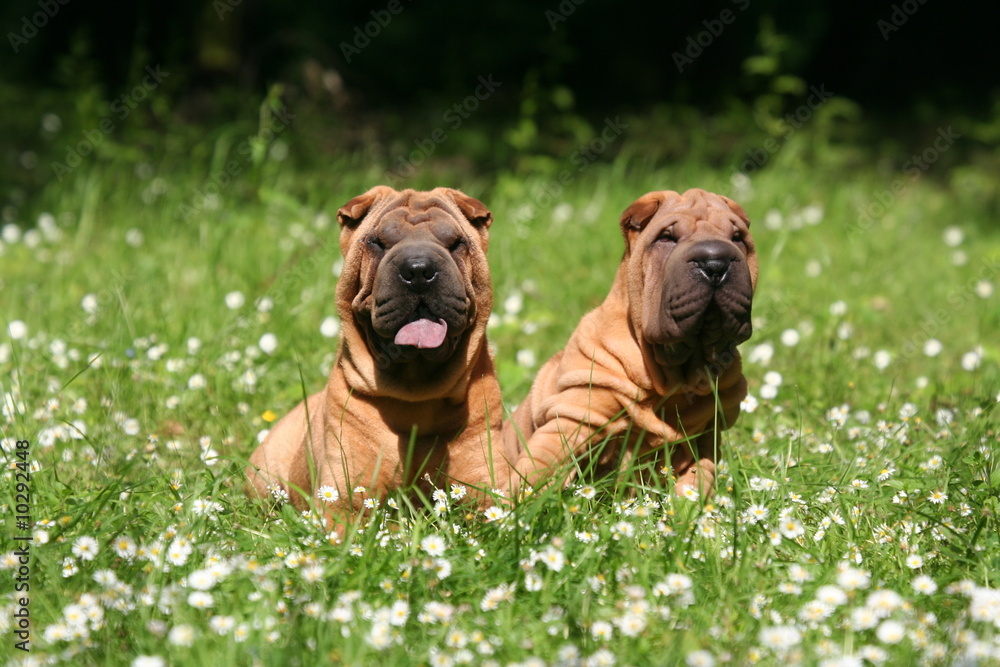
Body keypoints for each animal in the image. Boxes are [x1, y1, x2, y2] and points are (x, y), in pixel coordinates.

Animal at [247, 187, 512, 528]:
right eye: (378, 242)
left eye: (455, 243)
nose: (418, 270)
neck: (417, 399)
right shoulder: (342, 497)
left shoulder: (488, 488)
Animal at [508, 188, 756, 496]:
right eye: (667, 237)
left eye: (738, 238)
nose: (715, 263)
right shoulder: (576, 415)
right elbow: (539, 466)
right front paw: (513, 506)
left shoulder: (704, 436)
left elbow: (699, 479)